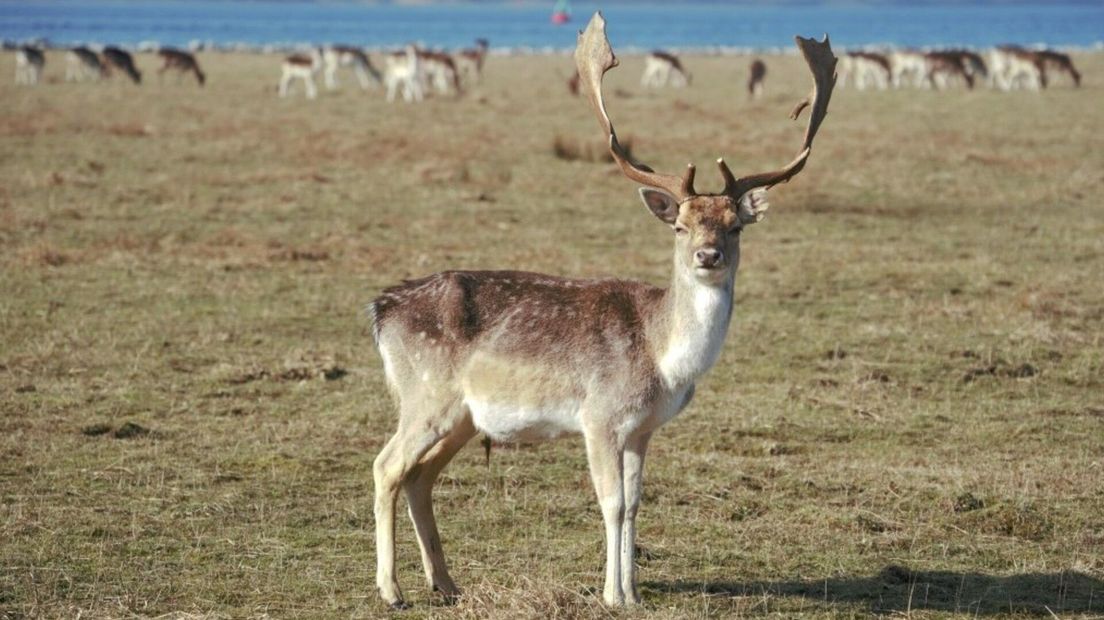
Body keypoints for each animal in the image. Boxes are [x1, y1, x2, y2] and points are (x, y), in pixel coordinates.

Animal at [370, 10, 834, 608]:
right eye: (680, 226)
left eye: (735, 226)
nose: (707, 255)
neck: (662, 360)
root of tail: (380, 309)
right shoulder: (598, 416)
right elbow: (610, 502)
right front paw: (613, 594)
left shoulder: (643, 428)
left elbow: (634, 504)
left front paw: (633, 591)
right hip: (426, 396)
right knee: (386, 466)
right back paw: (392, 590)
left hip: (462, 416)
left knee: (420, 477)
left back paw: (446, 585)